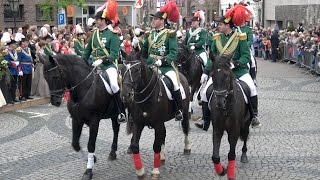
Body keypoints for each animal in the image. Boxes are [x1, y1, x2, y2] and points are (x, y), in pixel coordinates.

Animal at [120, 51, 190, 179]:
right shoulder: (138, 123)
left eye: (137, 70)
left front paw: (155, 172)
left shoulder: (157, 124)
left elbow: (156, 145)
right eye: (123, 70)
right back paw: (162, 156)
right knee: (164, 134)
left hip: (185, 111)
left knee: (185, 128)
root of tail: (182, 76)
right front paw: (140, 172)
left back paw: (187, 147)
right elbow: (135, 145)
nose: (125, 95)